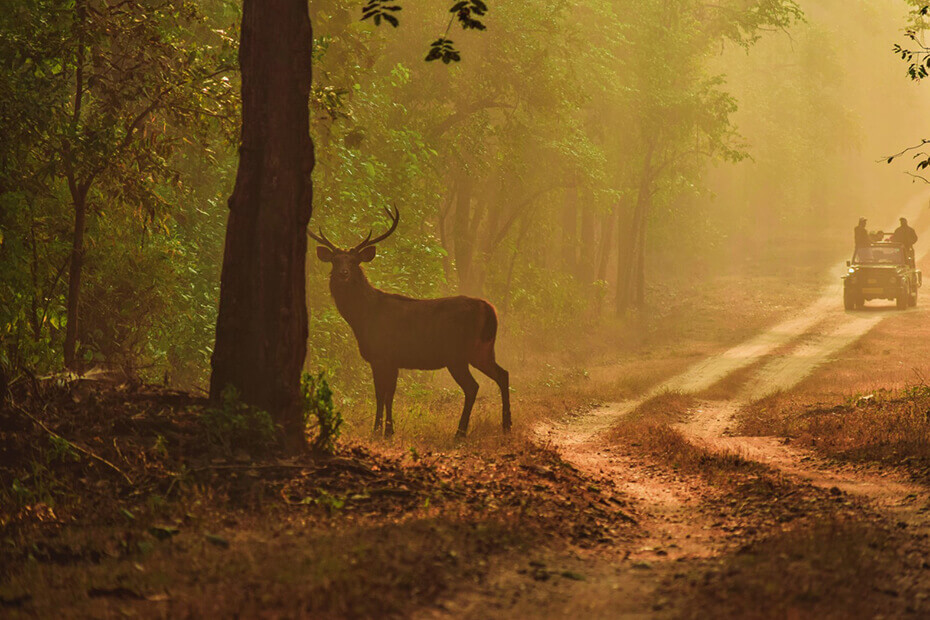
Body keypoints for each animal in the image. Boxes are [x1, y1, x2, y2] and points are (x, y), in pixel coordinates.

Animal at [306, 206, 508, 438]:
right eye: (335, 260)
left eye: (355, 261)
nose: (343, 273)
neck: (363, 317)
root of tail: (489, 310)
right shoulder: (389, 359)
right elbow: (385, 394)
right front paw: (385, 429)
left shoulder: (384, 355)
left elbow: (383, 393)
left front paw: (381, 430)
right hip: (482, 350)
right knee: (503, 374)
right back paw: (506, 425)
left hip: (457, 354)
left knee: (472, 386)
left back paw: (460, 432)